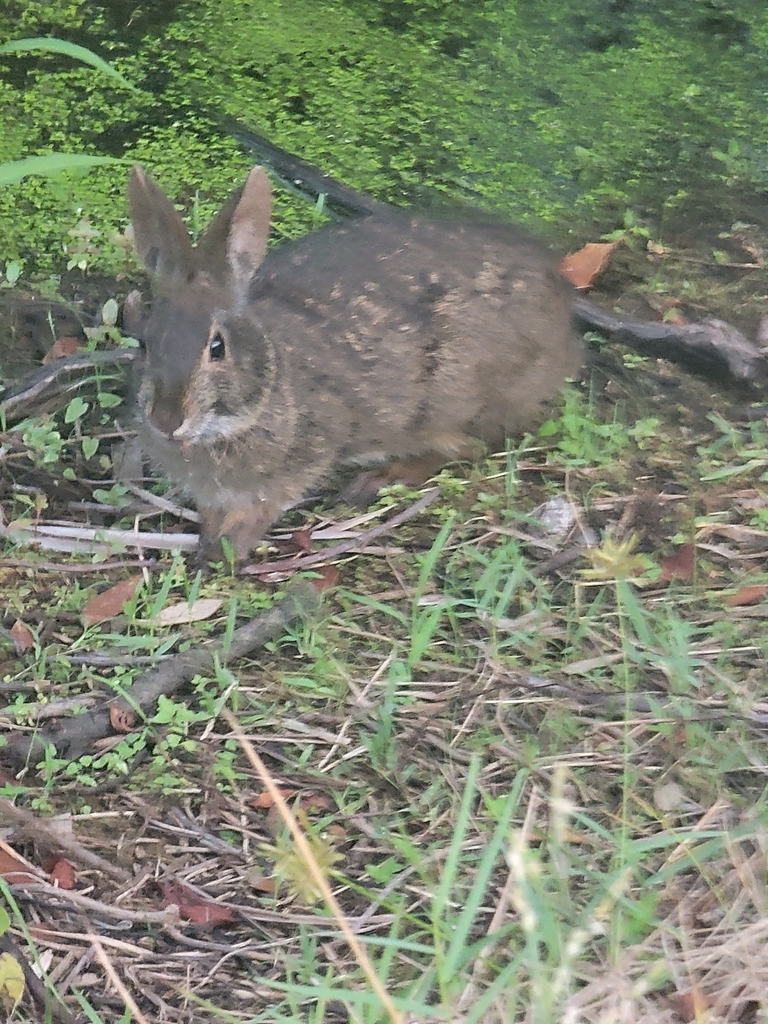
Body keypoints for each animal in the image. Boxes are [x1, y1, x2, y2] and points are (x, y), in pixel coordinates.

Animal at [124, 164, 584, 561]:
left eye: (217, 348)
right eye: (146, 341)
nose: (166, 421)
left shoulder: (309, 453)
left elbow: (265, 506)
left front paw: (226, 554)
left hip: (454, 402)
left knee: (469, 448)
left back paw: (378, 479)